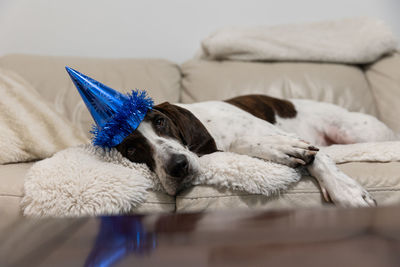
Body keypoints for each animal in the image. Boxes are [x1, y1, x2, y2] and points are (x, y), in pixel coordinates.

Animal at [115, 94, 396, 207]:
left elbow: (318, 156)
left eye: (160, 122)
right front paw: (281, 148)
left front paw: (347, 192)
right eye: (131, 149)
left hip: (354, 130)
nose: (177, 166)